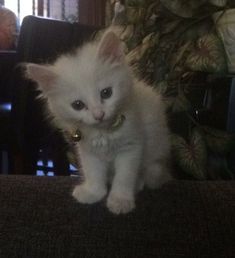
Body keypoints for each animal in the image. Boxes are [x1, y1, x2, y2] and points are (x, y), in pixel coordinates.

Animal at [25, 30, 171, 215]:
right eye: (78, 105)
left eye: (106, 93)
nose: (99, 114)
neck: (103, 133)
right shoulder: (87, 151)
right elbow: (93, 173)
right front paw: (93, 193)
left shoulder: (131, 147)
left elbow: (124, 177)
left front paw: (120, 200)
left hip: (155, 159)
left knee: (150, 173)